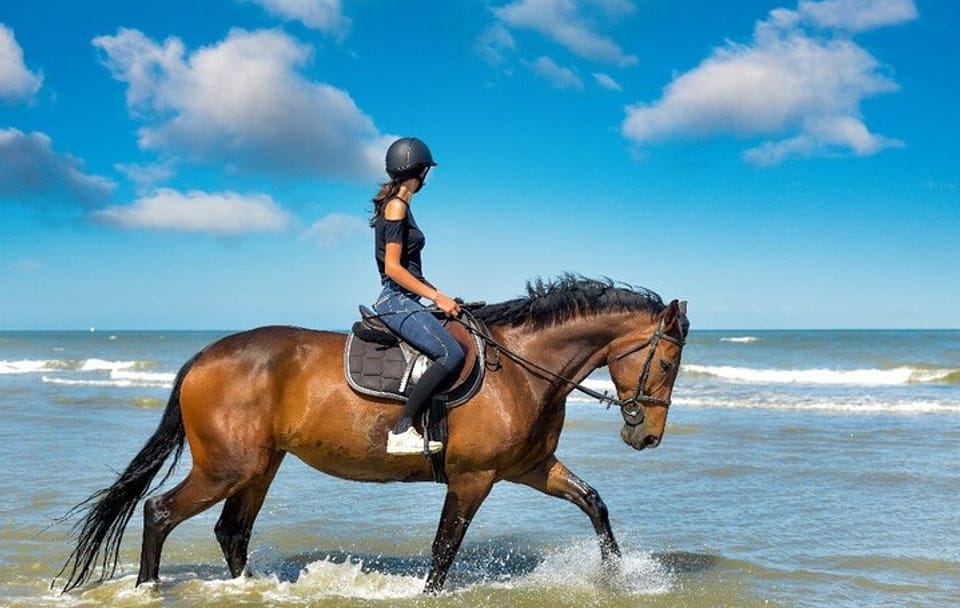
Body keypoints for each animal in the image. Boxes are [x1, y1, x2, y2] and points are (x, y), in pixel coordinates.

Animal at [56, 276, 689, 594]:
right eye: (665, 363)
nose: (647, 438)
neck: (520, 368)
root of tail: (203, 358)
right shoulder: (473, 477)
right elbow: (444, 548)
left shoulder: (529, 468)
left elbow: (594, 503)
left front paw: (616, 575)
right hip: (227, 467)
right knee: (161, 512)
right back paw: (146, 589)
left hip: (259, 467)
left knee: (231, 531)